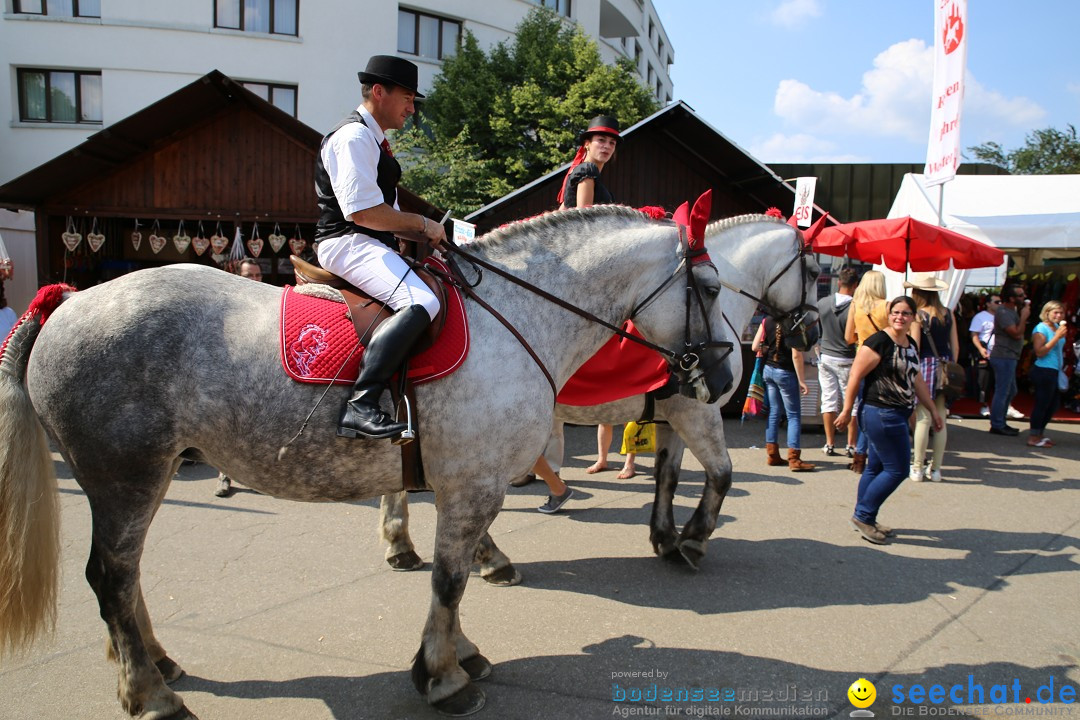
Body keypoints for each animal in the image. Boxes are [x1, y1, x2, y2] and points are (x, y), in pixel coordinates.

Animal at [0, 205, 734, 716]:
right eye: (707, 285)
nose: (723, 379)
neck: (517, 317)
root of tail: (69, 301)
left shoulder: (463, 484)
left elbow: (455, 577)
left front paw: (461, 655)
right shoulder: (472, 486)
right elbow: (449, 580)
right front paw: (441, 676)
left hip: (141, 477)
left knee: (124, 580)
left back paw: (155, 664)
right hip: (125, 476)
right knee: (110, 577)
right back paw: (151, 695)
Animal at [380, 213, 816, 578]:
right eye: (813, 271)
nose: (810, 333)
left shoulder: (672, 416)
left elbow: (667, 476)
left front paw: (666, 538)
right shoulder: (696, 414)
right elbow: (722, 474)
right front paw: (692, 539)